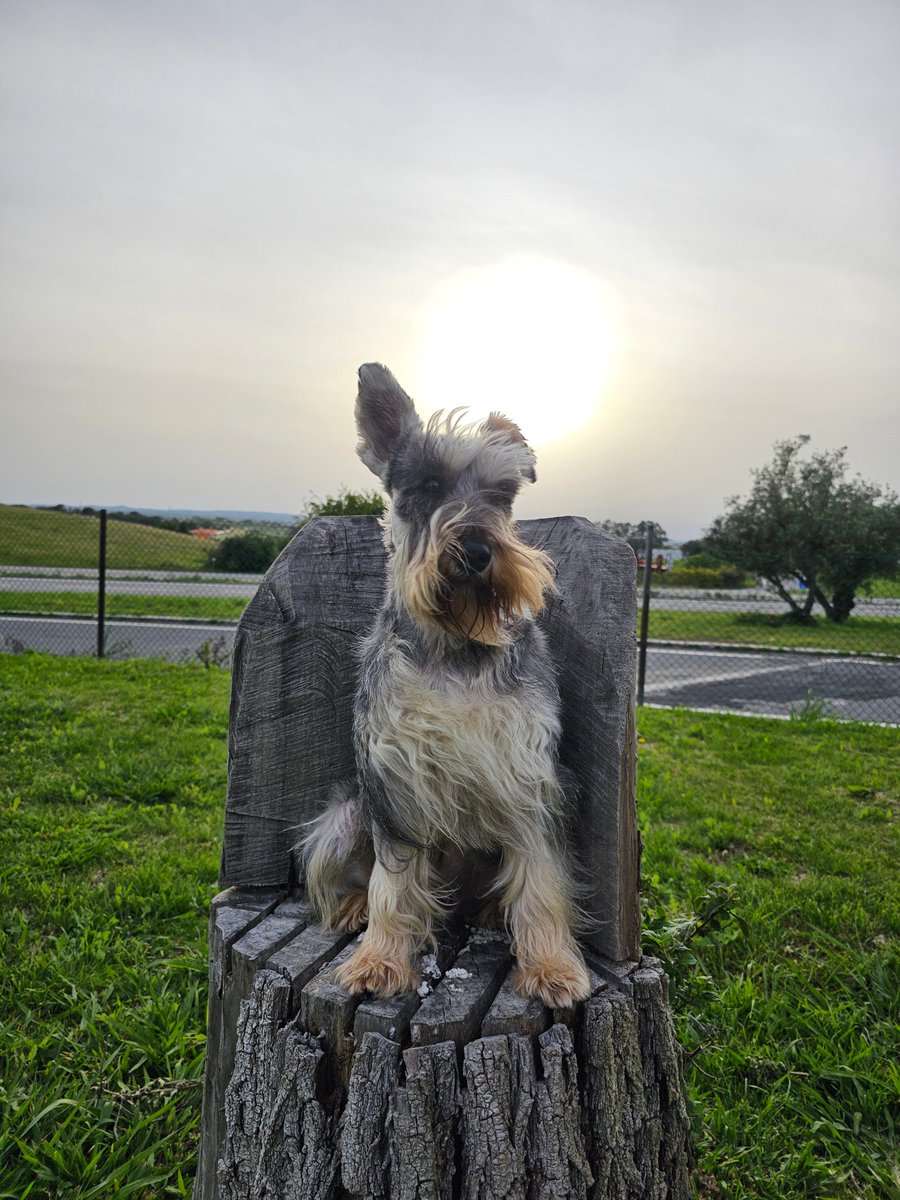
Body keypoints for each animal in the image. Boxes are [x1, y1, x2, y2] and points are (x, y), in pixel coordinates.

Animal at [301, 360, 592, 1008]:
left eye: (502, 494)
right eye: (430, 484)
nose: (479, 550)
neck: (456, 646)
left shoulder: (528, 775)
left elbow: (541, 879)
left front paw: (551, 966)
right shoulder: (395, 782)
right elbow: (393, 882)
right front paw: (380, 960)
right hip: (345, 816)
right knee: (344, 880)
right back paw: (352, 910)